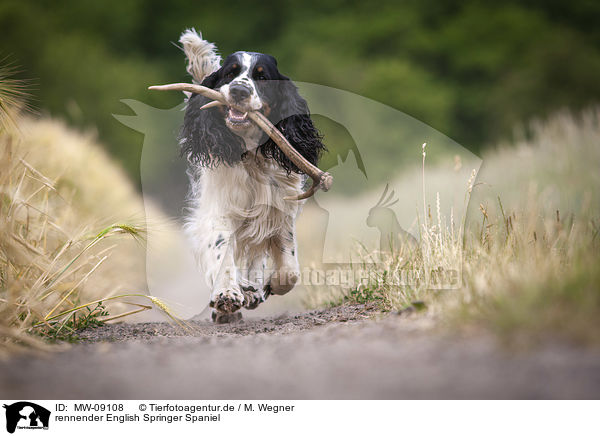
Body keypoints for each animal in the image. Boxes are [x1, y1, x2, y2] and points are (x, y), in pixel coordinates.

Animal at [178, 29, 326, 322]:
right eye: (230, 73)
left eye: (262, 77)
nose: (239, 90)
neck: (251, 158)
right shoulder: (218, 210)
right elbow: (221, 250)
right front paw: (226, 294)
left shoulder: (279, 210)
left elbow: (289, 268)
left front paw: (267, 286)